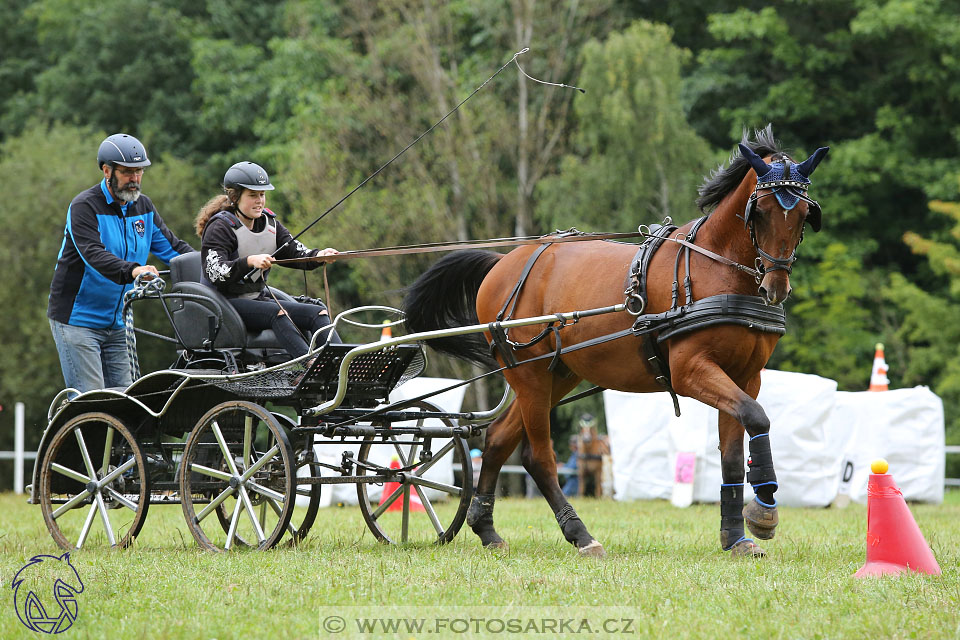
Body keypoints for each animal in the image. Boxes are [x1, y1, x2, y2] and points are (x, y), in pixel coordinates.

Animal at [404, 127, 824, 556]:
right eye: (760, 212)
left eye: (804, 215)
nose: (775, 287)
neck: (716, 269)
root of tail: (504, 262)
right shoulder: (691, 371)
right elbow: (757, 417)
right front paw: (764, 510)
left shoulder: (746, 376)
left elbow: (735, 452)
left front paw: (736, 536)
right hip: (529, 373)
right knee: (537, 455)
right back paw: (580, 535)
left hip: (557, 374)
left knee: (498, 440)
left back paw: (487, 529)